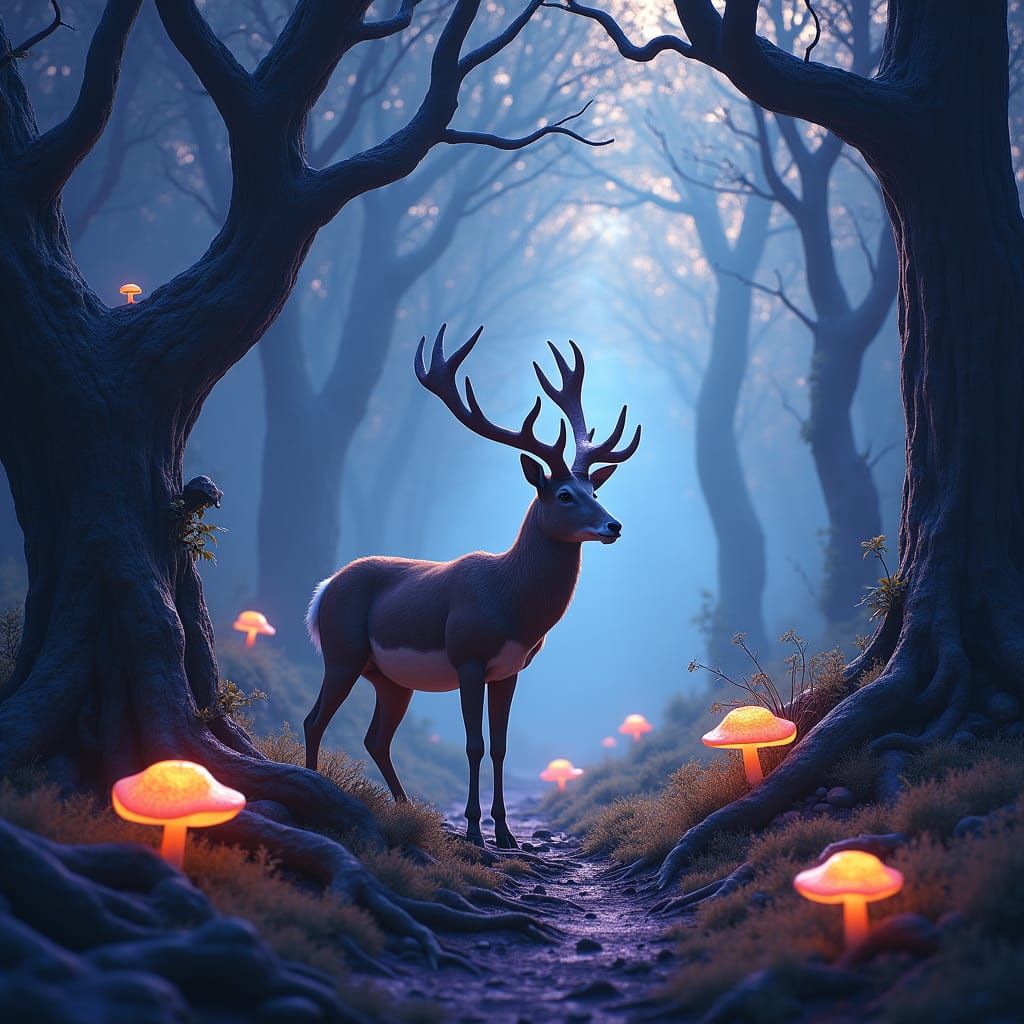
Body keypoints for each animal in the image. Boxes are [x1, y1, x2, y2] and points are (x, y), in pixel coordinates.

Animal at [303, 326, 640, 848]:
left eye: (596, 490)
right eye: (565, 495)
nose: (614, 526)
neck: (511, 602)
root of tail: (321, 592)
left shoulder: (509, 669)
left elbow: (500, 746)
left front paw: (505, 833)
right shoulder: (468, 656)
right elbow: (474, 744)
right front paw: (476, 832)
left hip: (391, 678)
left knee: (375, 737)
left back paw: (406, 808)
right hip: (342, 652)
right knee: (316, 719)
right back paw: (319, 790)